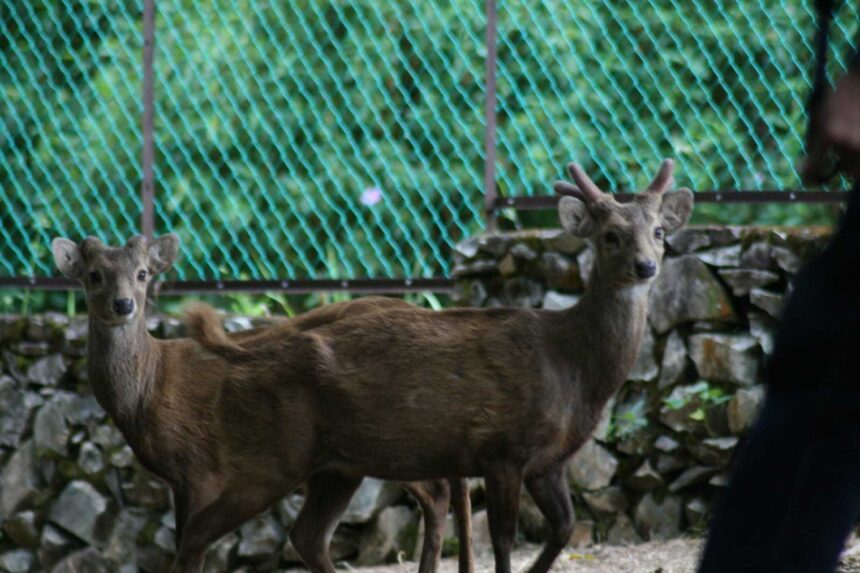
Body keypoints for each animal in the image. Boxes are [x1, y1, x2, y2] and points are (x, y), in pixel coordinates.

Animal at [50, 238, 470, 572]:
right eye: (93, 275)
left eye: (142, 273)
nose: (123, 304)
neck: (149, 389)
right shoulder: (178, 479)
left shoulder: (203, 467)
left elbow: (189, 547)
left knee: (436, 491)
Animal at [188, 159, 692, 572]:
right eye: (611, 235)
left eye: (659, 232)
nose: (646, 266)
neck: (573, 369)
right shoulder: (502, 447)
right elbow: (503, 542)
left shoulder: (549, 462)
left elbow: (563, 530)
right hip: (273, 452)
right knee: (198, 528)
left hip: (336, 466)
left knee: (306, 536)